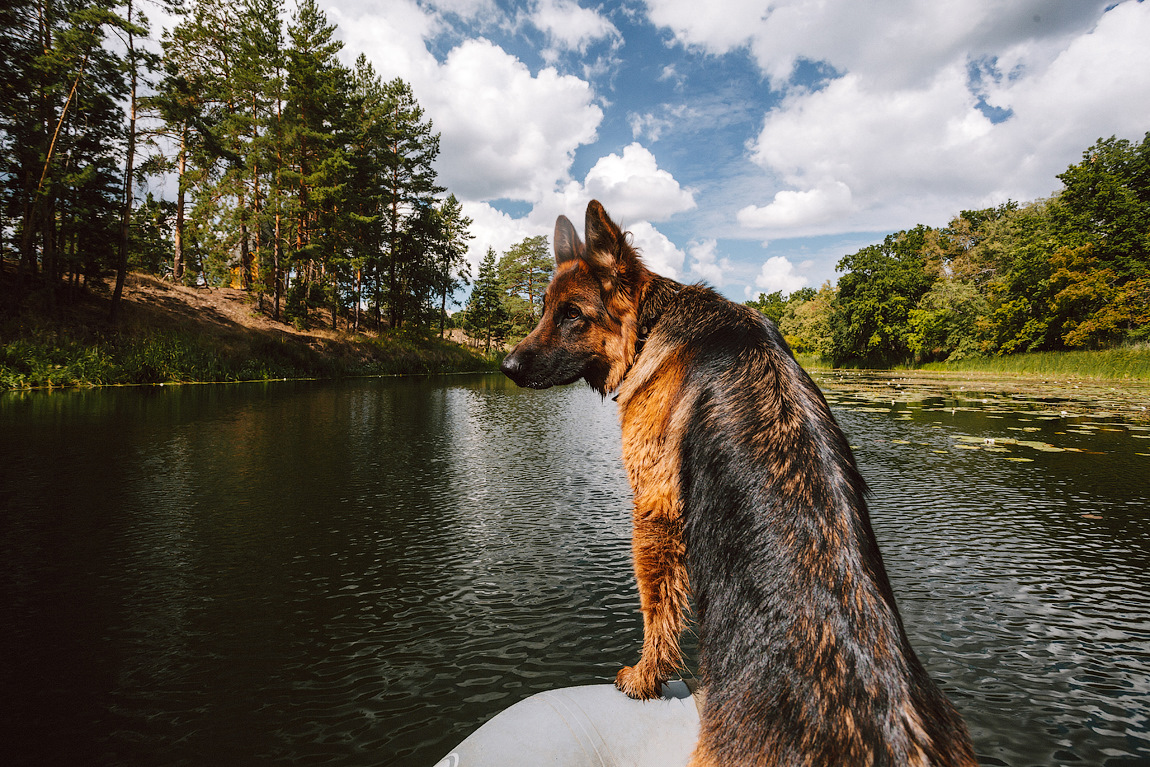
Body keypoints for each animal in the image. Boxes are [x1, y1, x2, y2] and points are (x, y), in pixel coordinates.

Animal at [499, 201, 975, 763]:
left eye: (572, 314)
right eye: (545, 309)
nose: (505, 365)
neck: (650, 325)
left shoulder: (655, 509)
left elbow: (657, 611)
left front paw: (644, 679)